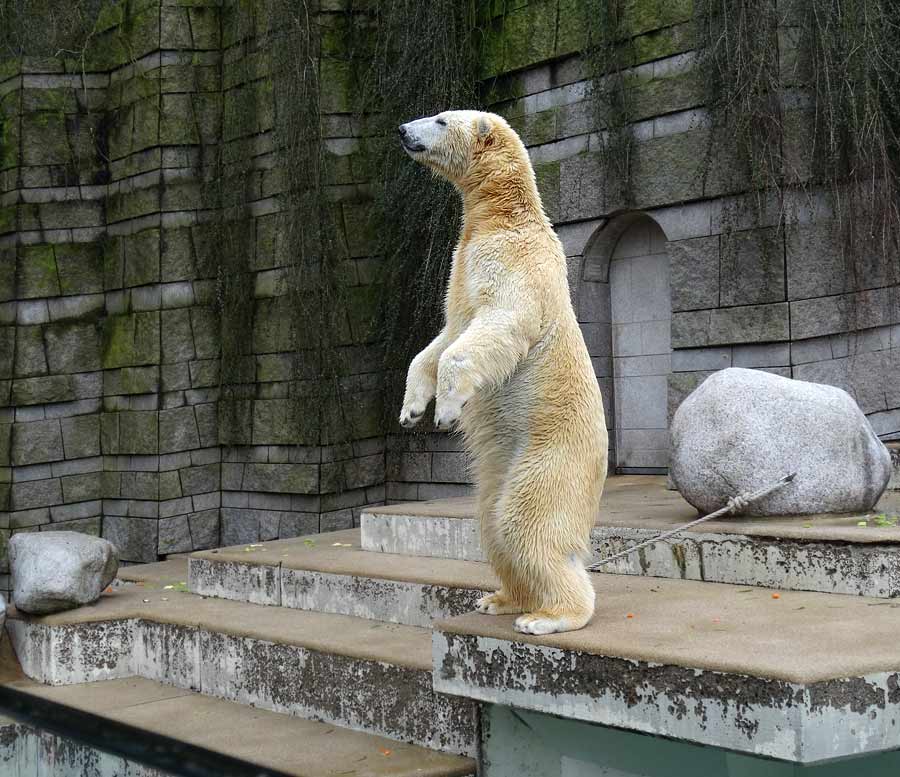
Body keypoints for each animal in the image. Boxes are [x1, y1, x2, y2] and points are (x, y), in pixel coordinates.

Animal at [398, 112, 608, 632]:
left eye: (440, 119)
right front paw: (411, 409)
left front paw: (447, 410)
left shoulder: (515, 261)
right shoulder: (462, 267)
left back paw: (549, 616)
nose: (402, 130)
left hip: (551, 455)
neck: (506, 215)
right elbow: (445, 336)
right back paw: (502, 598)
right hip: (500, 465)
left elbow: (501, 322)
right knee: (490, 522)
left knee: (526, 522)